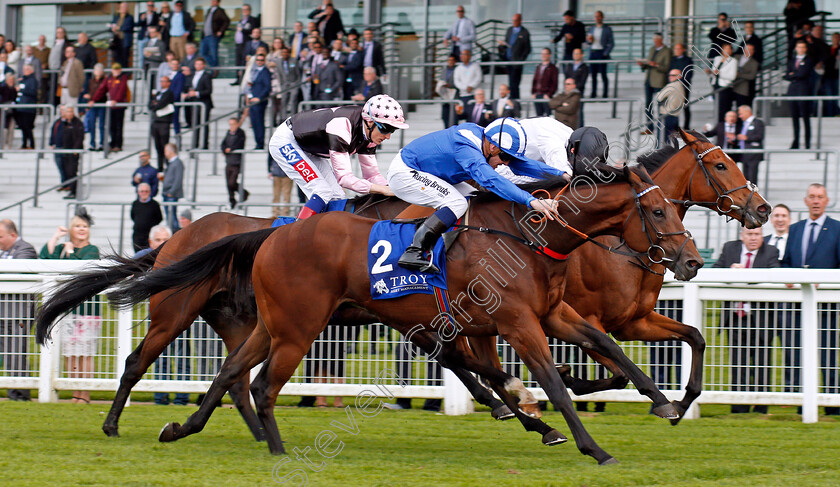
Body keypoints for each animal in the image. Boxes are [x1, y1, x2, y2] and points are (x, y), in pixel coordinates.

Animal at [101, 165, 700, 466]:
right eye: (655, 210)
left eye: (675, 207)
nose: (689, 259)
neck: (525, 234)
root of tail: (269, 236)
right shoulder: (514, 323)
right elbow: (547, 380)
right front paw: (591, 446)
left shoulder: (549, 314)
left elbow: (609, 347)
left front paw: (666, 403)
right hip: (279, 325)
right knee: (246, 382)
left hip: (265, 324)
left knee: (232, 374)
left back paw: (181, 428)